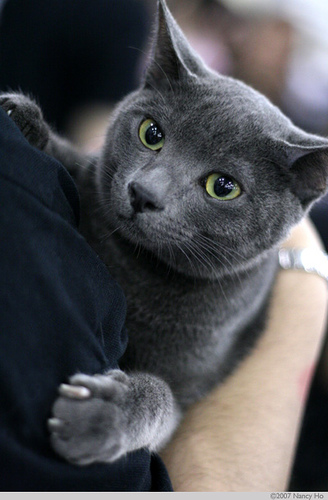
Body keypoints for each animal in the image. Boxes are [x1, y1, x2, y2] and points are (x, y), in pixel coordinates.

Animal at [1, 0, 326, 464]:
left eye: (223, 186)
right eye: (151, 133)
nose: (144, 193)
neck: (133, 268)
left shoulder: (188, 384)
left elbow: (163, 398)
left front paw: (101, 415)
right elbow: (77, 164)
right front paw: (21, 117)